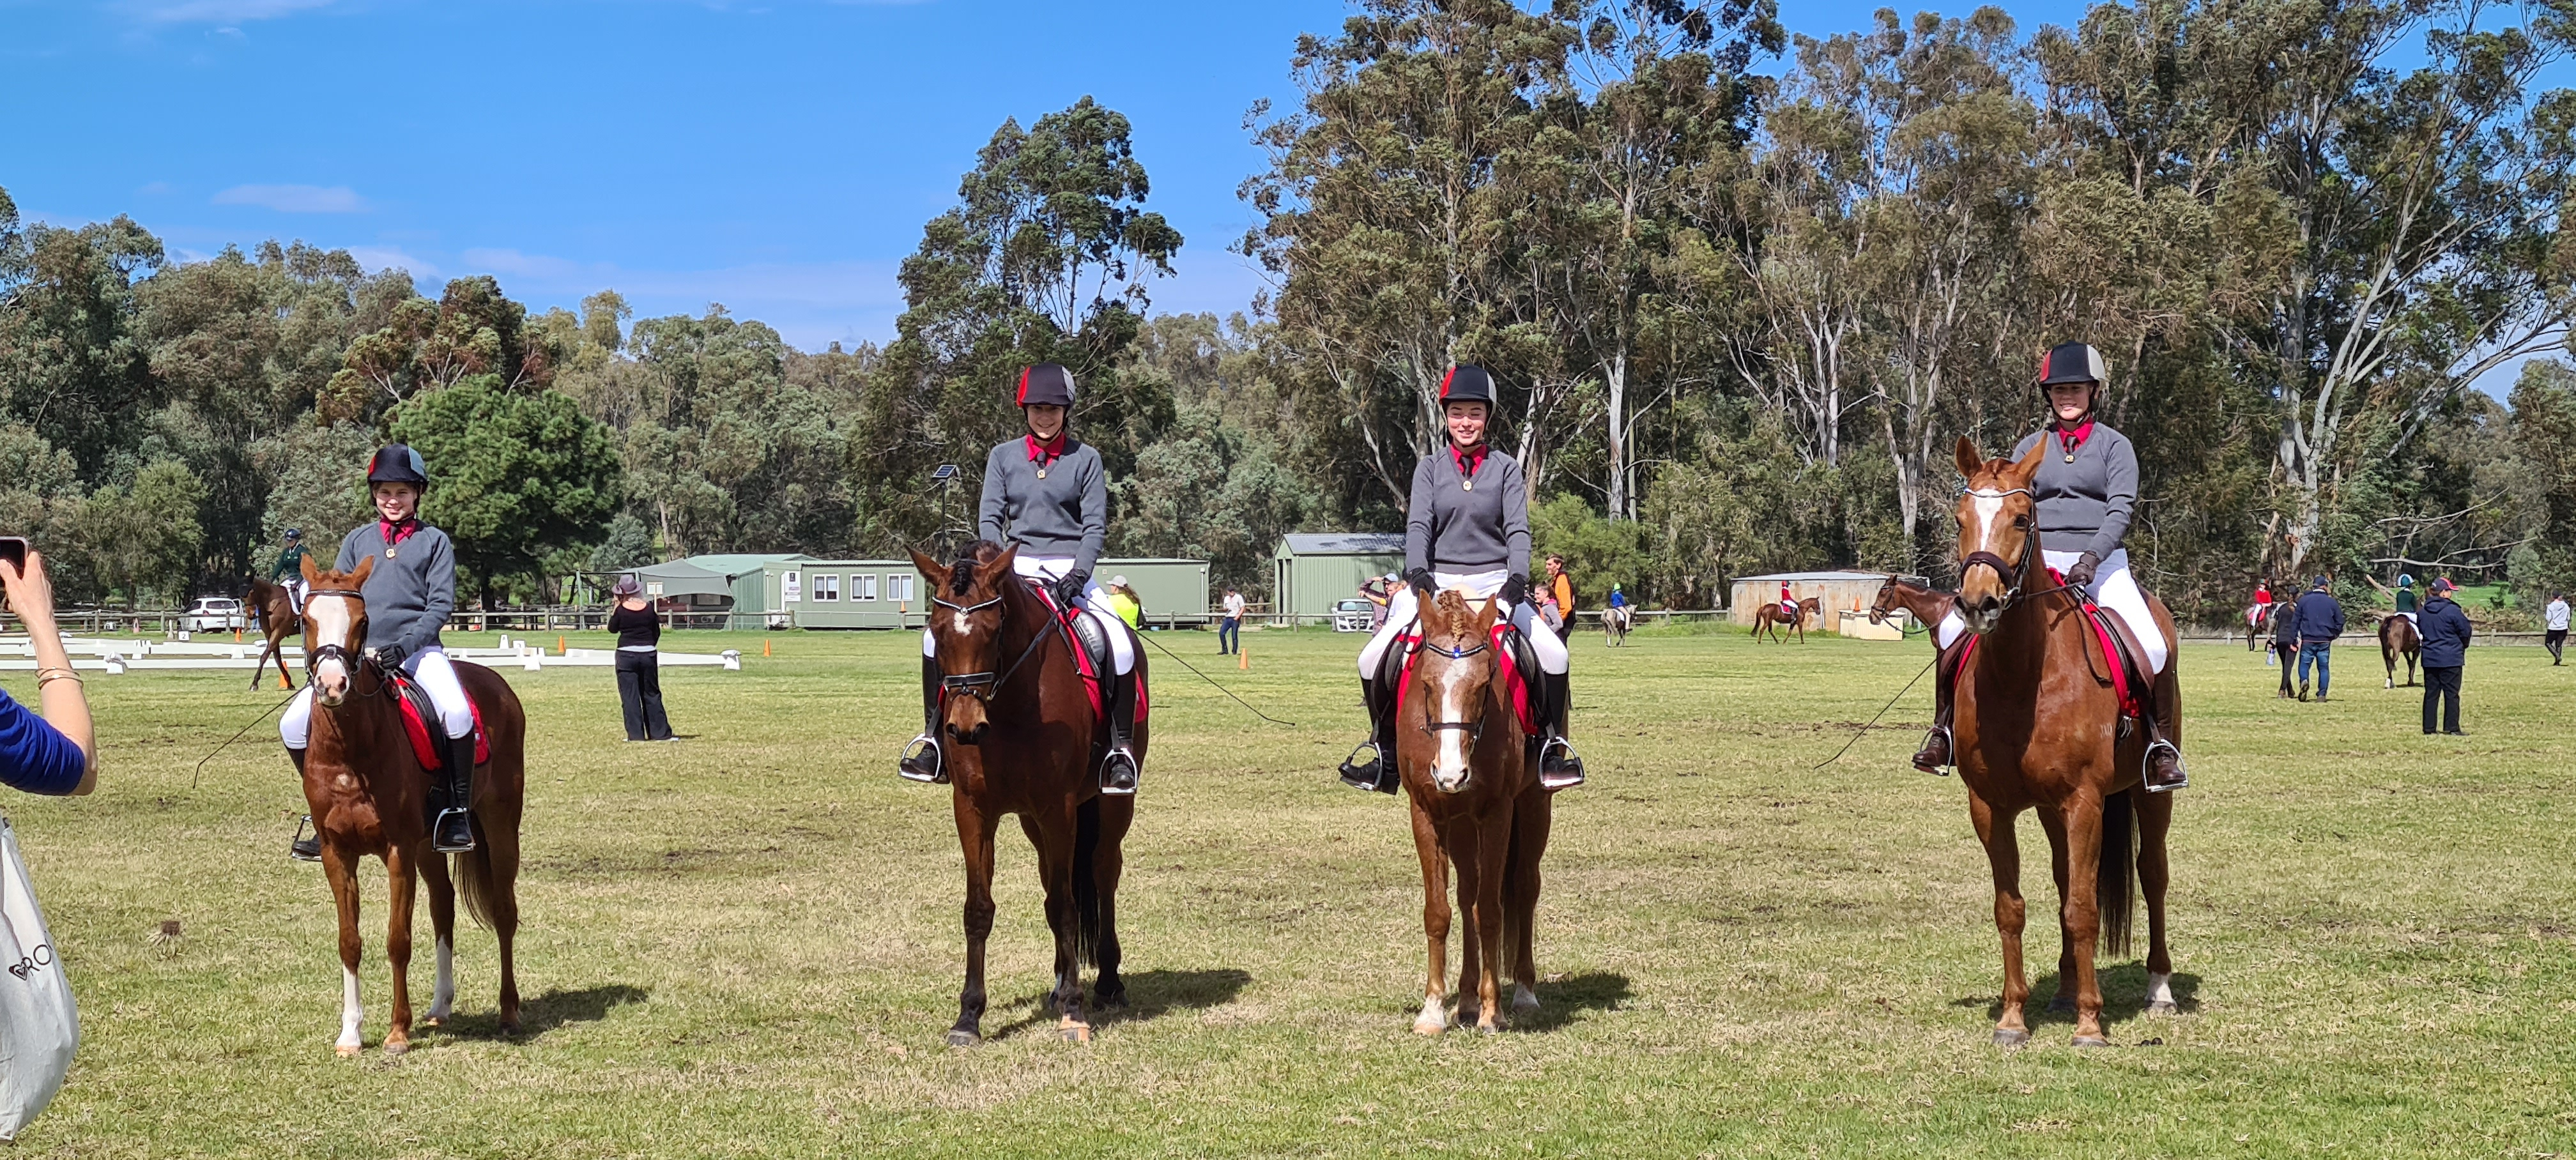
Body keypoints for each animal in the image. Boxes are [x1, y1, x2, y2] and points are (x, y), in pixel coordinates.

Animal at [246, 576, 300, 691]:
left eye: (252, 591)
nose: (251, 615)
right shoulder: (270, 635)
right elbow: (277, 659)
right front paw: (290, 684)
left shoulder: (278, 632)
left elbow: (264, 657)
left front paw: (254, 684)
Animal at [294, 555, 525, 1056]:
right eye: (305, 620)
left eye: (362, 623)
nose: (332, 685)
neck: (351, 749)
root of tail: (497, 683)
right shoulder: (337, 854)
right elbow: (349, 940)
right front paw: (350, 1033)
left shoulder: (397, 851)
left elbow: (397, 939)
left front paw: (398, 1032)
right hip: (427, 845)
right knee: (444, 907)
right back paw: (440, 1007)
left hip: (500, 828)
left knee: (504, 912)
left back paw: (509, 1012)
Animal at [908, 542, 1143, 1047]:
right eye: (936, 631)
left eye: (994, 630)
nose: (964, 727)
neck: (1012, 707)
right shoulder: (974, 810)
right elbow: (979, 909)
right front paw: (968, 1017)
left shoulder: (1059, 808)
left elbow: (1067, 906)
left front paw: (1075, 1011)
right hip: (1034, 823)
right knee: (1051, 879)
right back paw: (1058, 984)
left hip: (1111, 805)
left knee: (1103, 872)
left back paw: (1108, 982)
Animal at [1394, 589, 1550, 1034]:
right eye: (1426, 684)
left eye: (1482, 686)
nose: (1451, 774)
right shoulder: (1425, 812)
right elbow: (1439, 912)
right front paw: (1432, 1010)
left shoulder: (1498, 813)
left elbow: (1492, 911)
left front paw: (1492, 1011)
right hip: (1461, 825)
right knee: (1466, 897)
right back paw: (1463, 999)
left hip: (1535, 806)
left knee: (1524, 888)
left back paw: (1523, 993)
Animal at [1947, 436, 2179, 1048]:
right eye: (1960, 519)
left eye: (2020, 518)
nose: (1978, 605)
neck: (2022, 676)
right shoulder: (1991, 807)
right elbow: (2012, 907)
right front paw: (2012, 1019)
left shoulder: (2084, 803)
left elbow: (2084, 906)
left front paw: (2091, 1024)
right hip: (2051, 811)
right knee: (2061, 879)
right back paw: (2064, 989)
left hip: (2150, 795)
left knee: (2153, 875)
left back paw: (2159, 989)